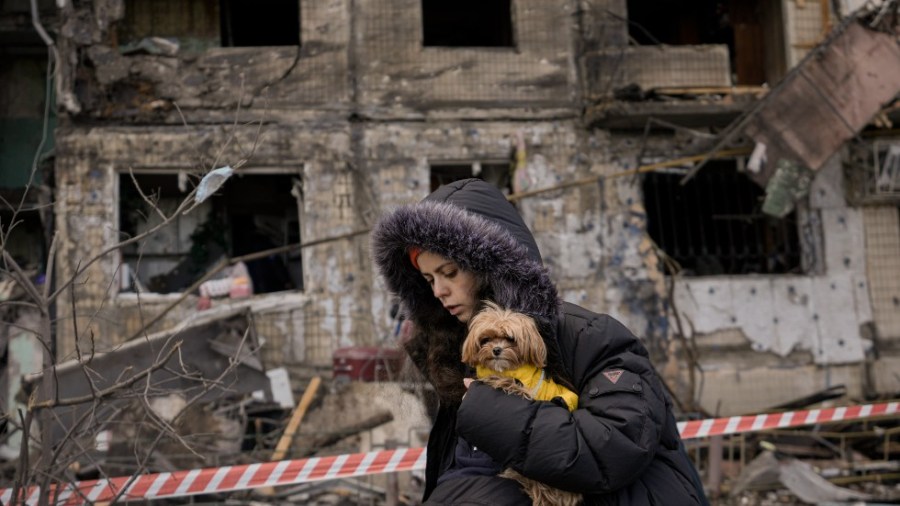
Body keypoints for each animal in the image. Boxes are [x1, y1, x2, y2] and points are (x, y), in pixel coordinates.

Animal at [464, 302, 584, 504]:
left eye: (510, 338)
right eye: (486, 339)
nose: (496, 350)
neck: (508, 369)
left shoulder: (524, 390)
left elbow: (511, 385)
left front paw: (495, 380)